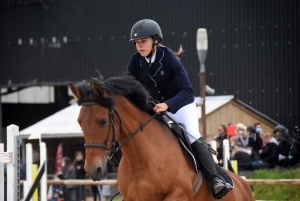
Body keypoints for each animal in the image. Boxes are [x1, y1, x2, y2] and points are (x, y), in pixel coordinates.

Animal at [69, 74, 254, 201]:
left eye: (103, 121)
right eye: (79, 122)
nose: (93, 169)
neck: (142, 159)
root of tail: (244, 184)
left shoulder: (179, 193)